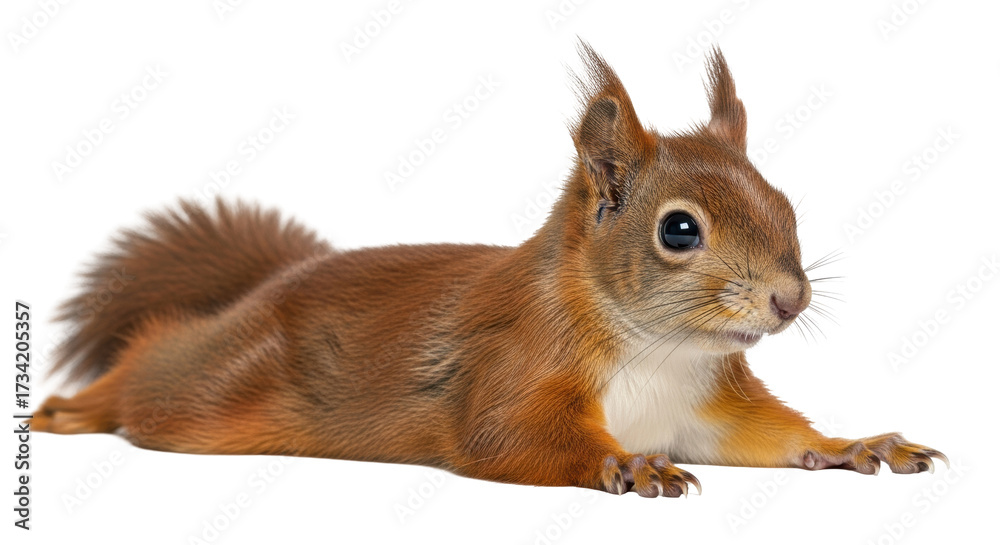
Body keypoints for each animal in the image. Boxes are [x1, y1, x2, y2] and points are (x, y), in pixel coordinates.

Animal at [33, 42, 946, 497]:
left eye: (785, 201)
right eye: (679, 229)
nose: (789, 298)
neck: (661, 352)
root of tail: (264, 290)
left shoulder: (709, 406)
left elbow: (776, 437)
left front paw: (857, 444)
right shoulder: (516, 361)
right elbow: (505, 434)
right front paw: (628, 465)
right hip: (214, 393)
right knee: (154, 369)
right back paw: (69, 408)